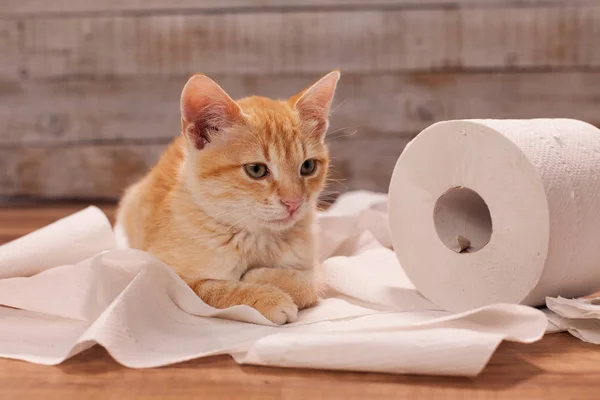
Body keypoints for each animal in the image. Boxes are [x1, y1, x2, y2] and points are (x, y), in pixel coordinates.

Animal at [117, 70, 340, 324]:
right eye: (256, 170)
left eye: (308, 167)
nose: (293, 203)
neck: (257, 238)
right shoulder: (165, 275)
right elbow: (216, 288)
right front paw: (269, 298)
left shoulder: (313, 264)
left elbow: (311, 281)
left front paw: (261, 276)